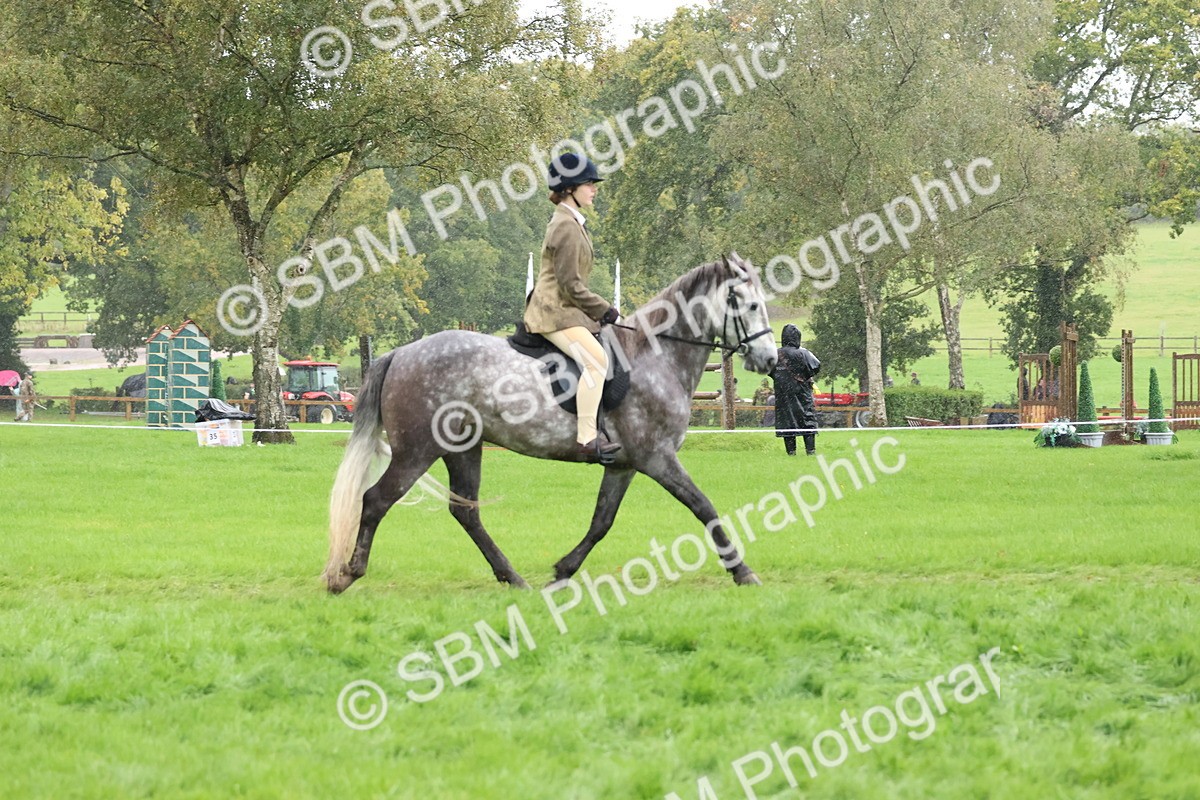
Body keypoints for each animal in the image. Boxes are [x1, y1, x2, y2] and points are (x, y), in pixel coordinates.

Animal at [323, 253, 777, 593]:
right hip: (417, 451)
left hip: (462, 448)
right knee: (375, 500)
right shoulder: (657, 458)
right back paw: (347, 575)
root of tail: (401, 353)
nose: (769, 360)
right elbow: (704, 507)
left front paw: (562, 571)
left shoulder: (625, 464)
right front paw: (742, 571)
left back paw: (512, 577)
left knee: (465, 511)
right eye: (750, 304)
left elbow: (601, 521)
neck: (655, 355)